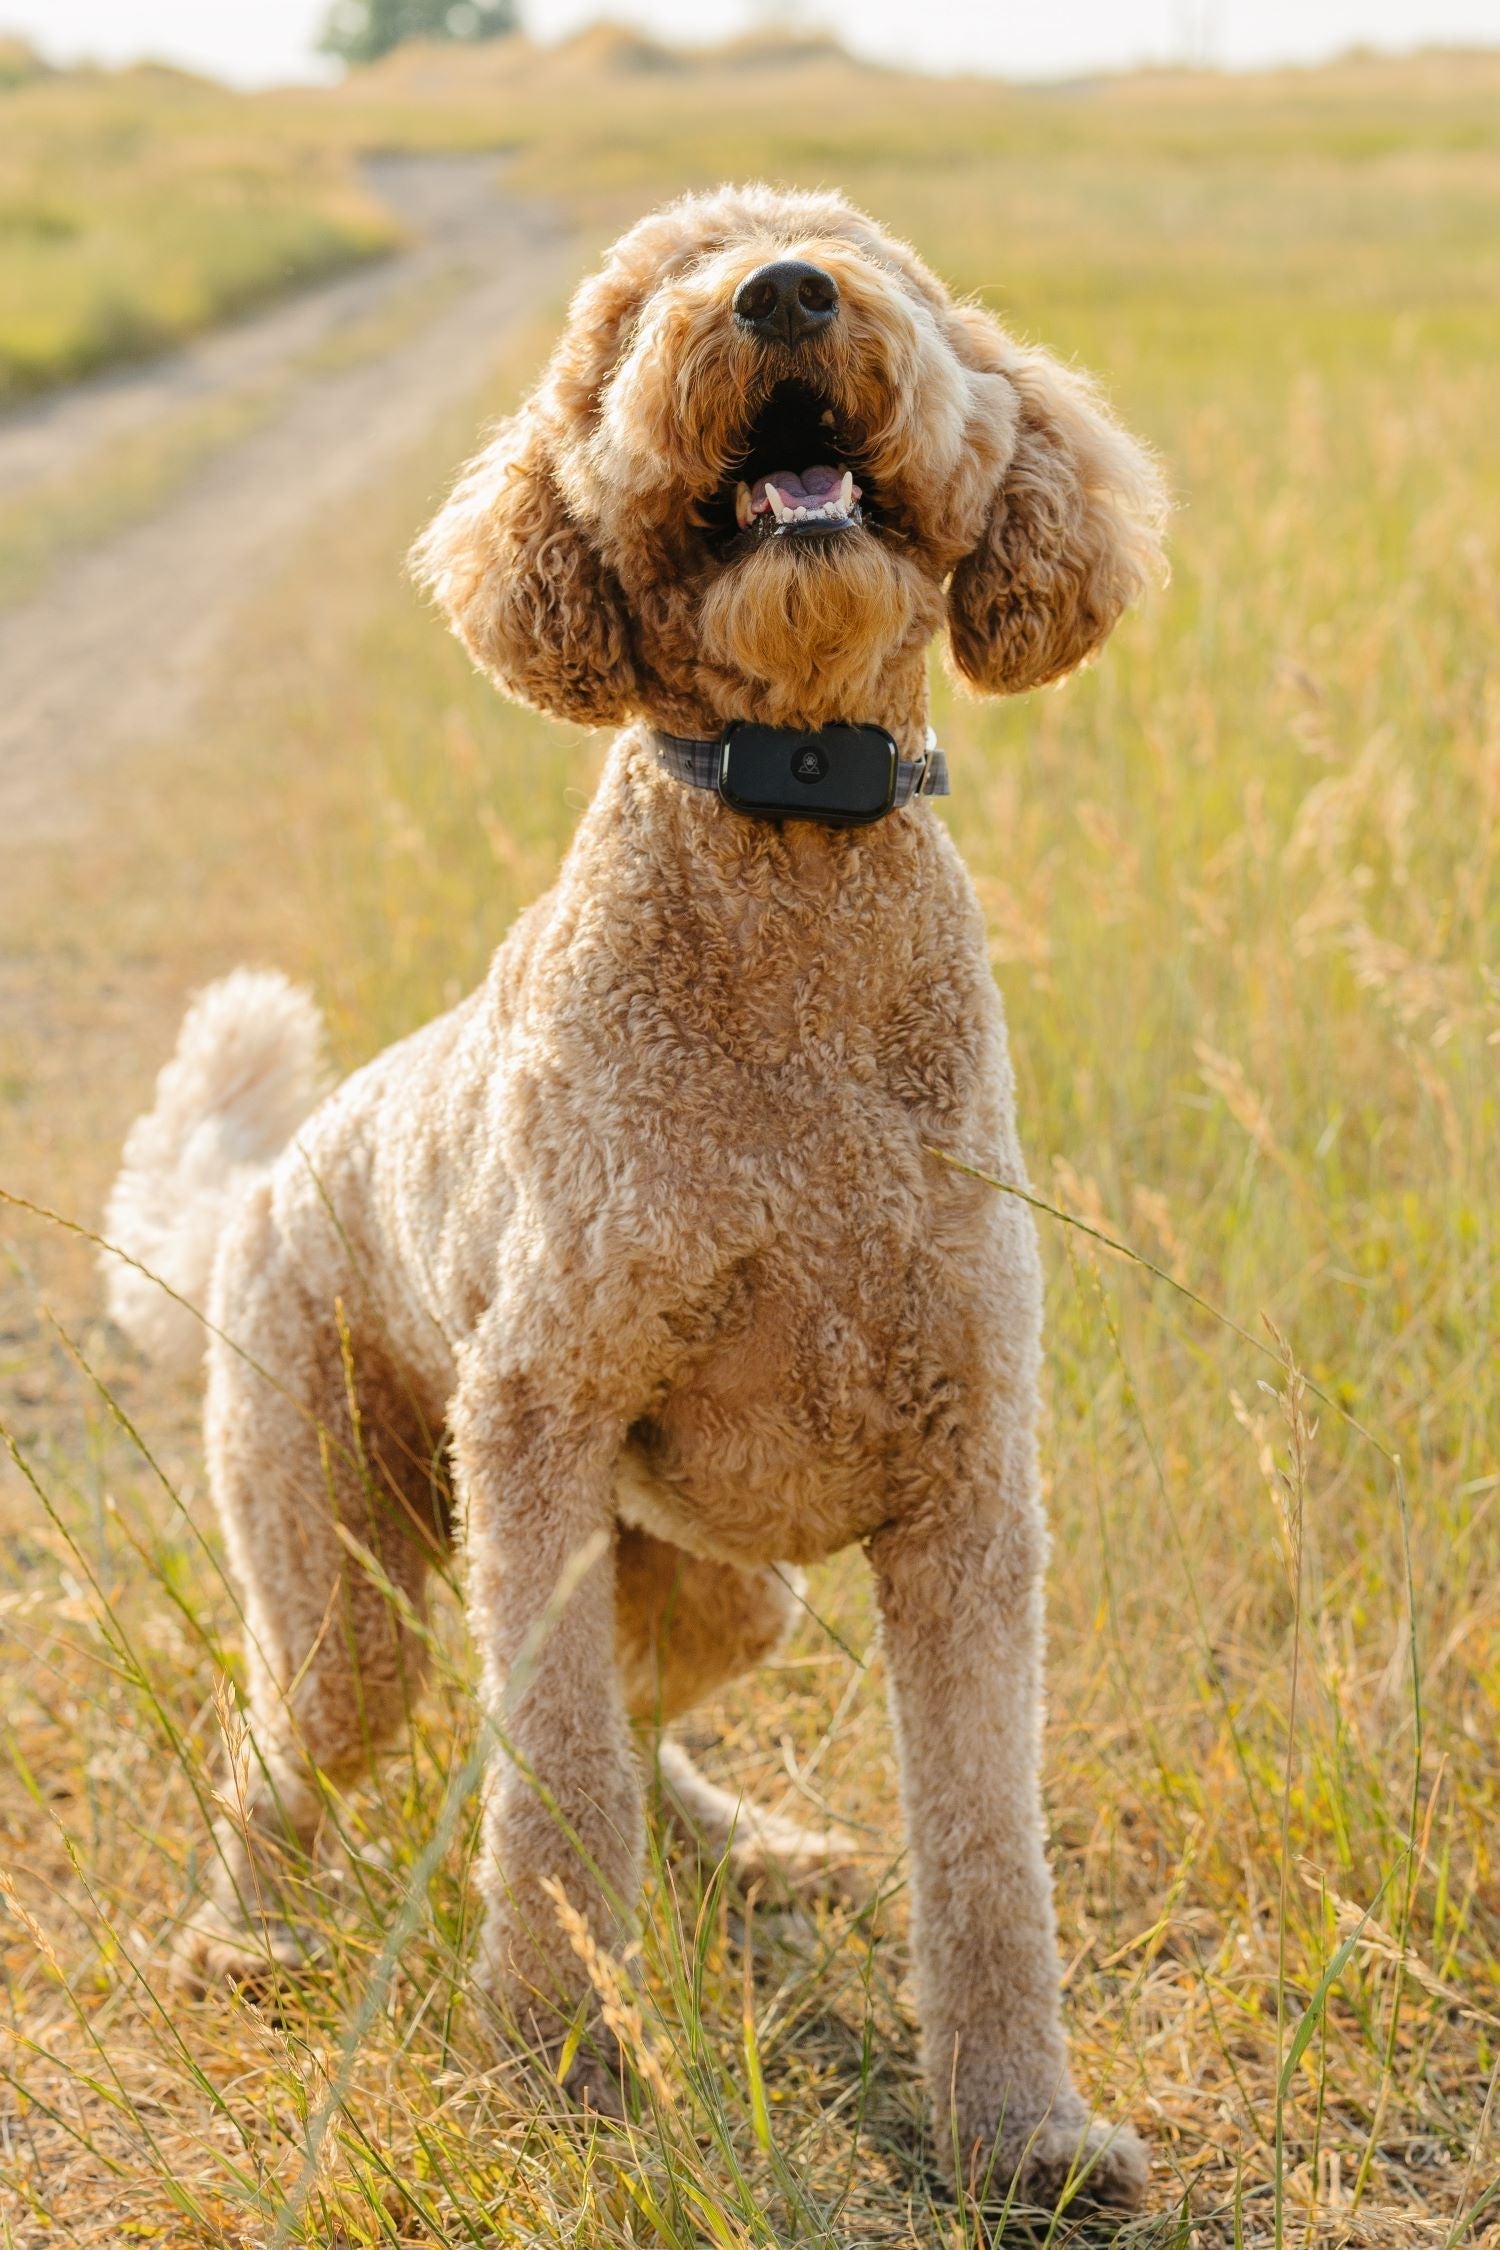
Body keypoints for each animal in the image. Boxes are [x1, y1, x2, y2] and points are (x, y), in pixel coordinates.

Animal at [108, 184, 1160, 2205]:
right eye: (638, 306)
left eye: (869, 256)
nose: (781, 291)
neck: (794, 843)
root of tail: (265, 1186)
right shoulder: (537, 1416)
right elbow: (554, 1786)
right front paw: (559, 2061)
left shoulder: (971, 1485)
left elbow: (986, 1846)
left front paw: (1024, 2131)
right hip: (349, 1570)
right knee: (304, 1744)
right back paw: (235, 1937)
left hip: (724, 1585)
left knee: (645, 1702)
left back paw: (736, 1840)